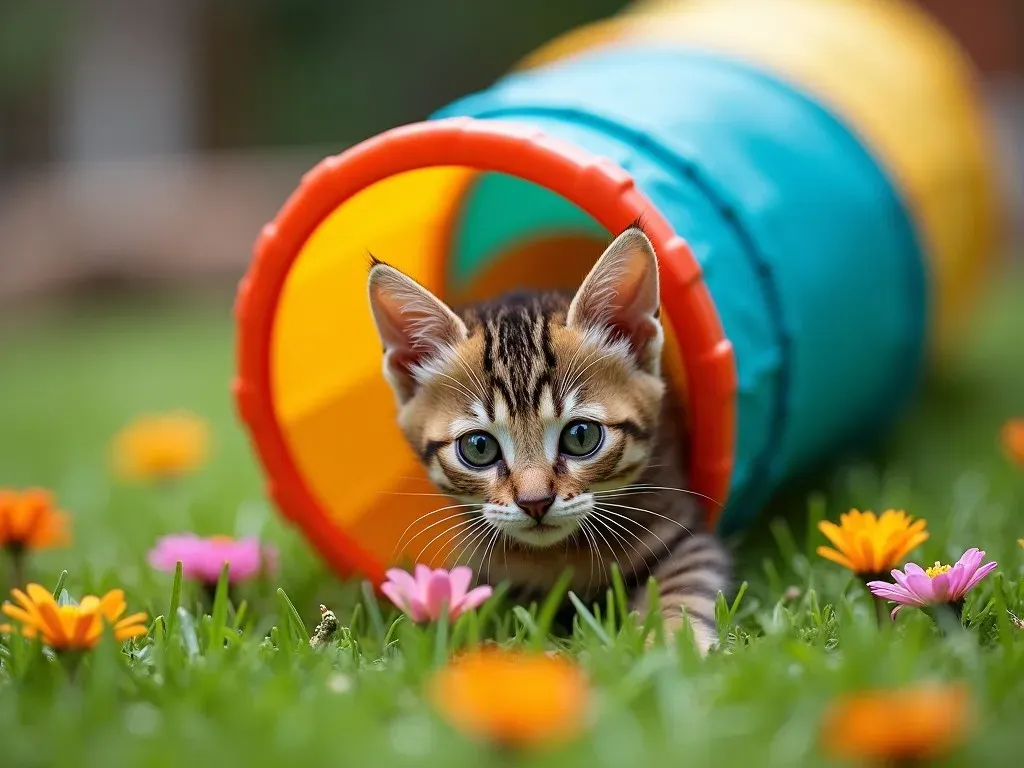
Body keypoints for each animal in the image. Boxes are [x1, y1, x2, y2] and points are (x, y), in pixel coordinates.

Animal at [366, 224, 729, 655]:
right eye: (478, 447)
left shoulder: (688, 534)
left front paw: (671, 642)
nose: (535, 502)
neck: (559, 556)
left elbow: (683, 587)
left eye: (581, 436)